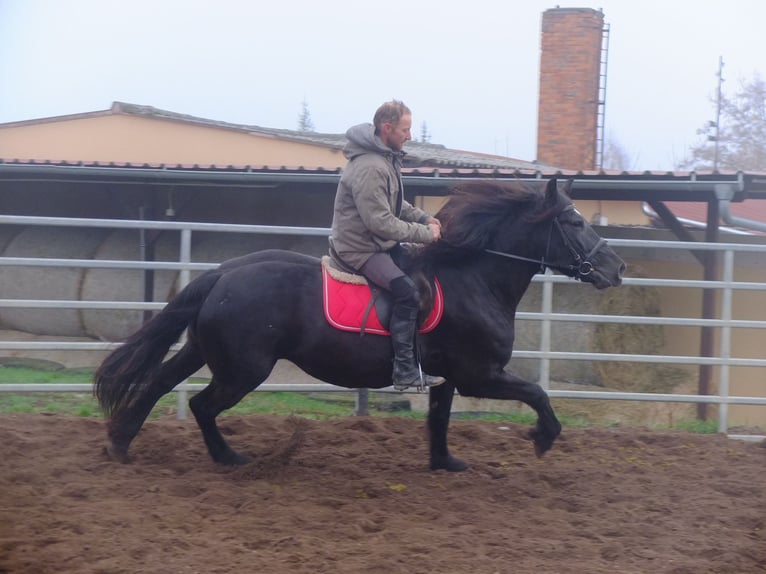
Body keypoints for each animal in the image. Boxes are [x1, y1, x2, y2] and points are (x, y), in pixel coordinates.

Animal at [94, 179, 624, 472]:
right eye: (575, 223)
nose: (617, 269)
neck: (474, 278)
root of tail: (224, 273)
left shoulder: (449, 378)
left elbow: (438, 419)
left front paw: (445, 463)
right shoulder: (481, 375)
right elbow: (538, 394)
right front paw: (543, 438)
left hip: (205, 352)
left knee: (160, 383)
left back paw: (121, 444)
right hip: (242, 369)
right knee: (201, 405)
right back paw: (228, 459)